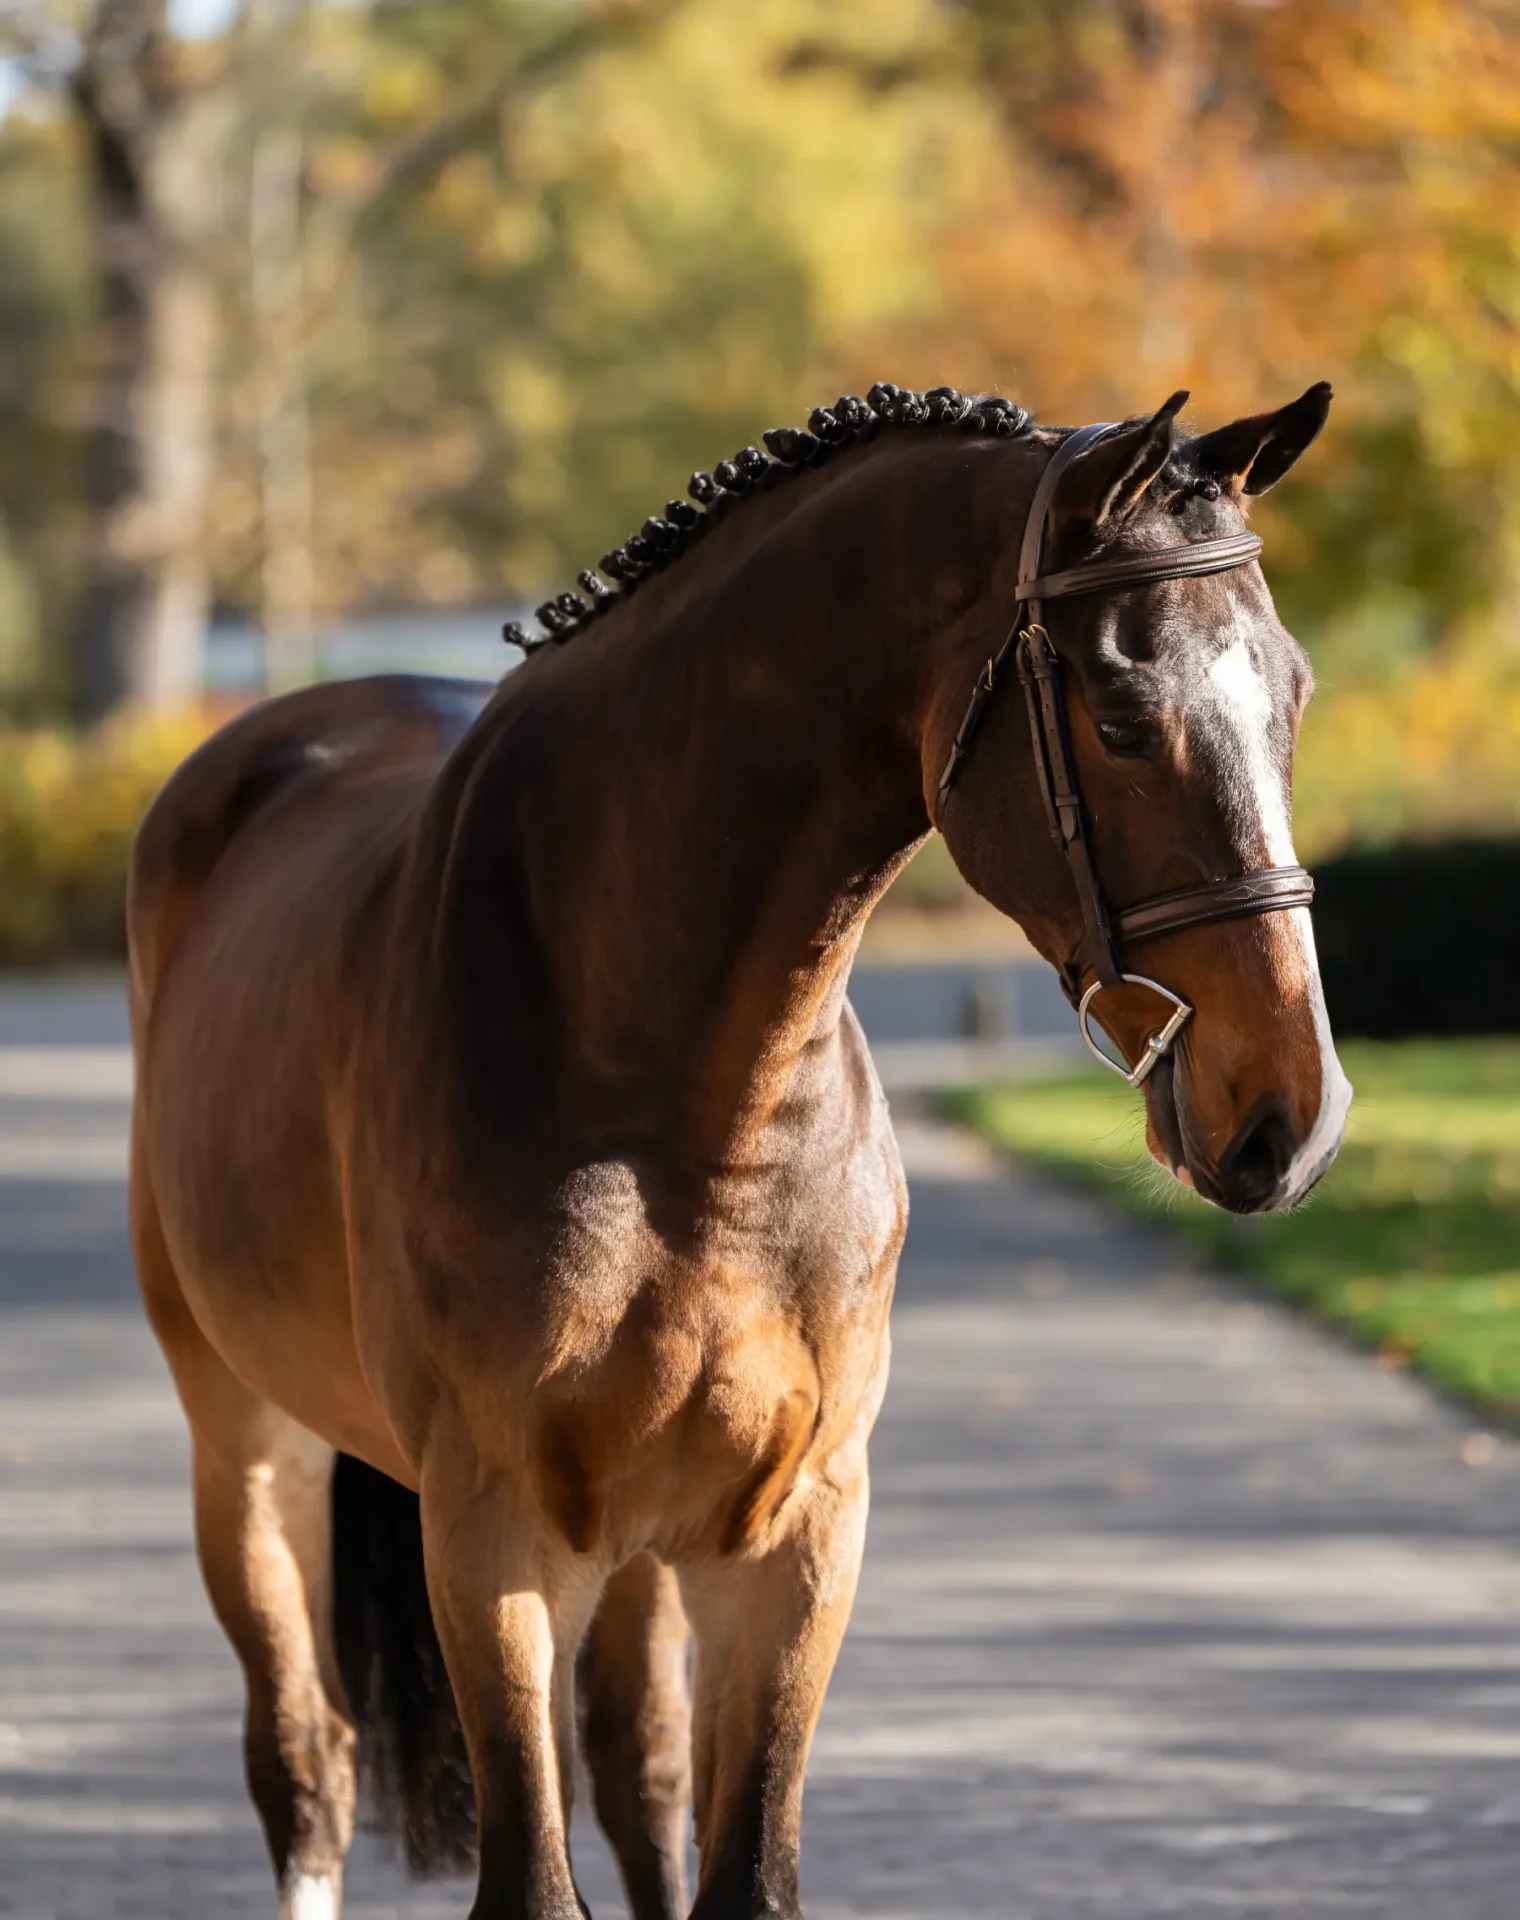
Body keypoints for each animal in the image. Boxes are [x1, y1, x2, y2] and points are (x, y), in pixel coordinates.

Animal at [126, 380, 1351, 1920]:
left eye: (1293, 694)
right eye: (1125, 718)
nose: (1289, 1115)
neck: (681, 1102)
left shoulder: (791, 1532)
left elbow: (739, 1863)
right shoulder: (492, 1536)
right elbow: (531, 1877)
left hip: (640, 1539)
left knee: (639, 1780)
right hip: (244, 1443)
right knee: (307, 1767)